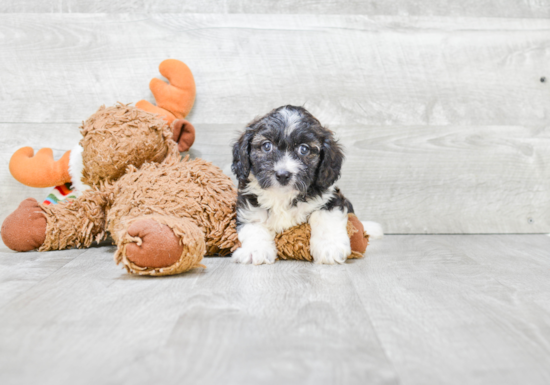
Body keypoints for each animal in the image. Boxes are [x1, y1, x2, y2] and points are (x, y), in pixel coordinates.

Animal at [233, 105, 358, 264]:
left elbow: (325, 218)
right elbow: (254, 226)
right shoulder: (249, 205)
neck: (282, 195)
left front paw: (330, 248)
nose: (283, 175)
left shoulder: (329, 198)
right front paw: (255, 250)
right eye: (267, 146)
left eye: (304, 149)